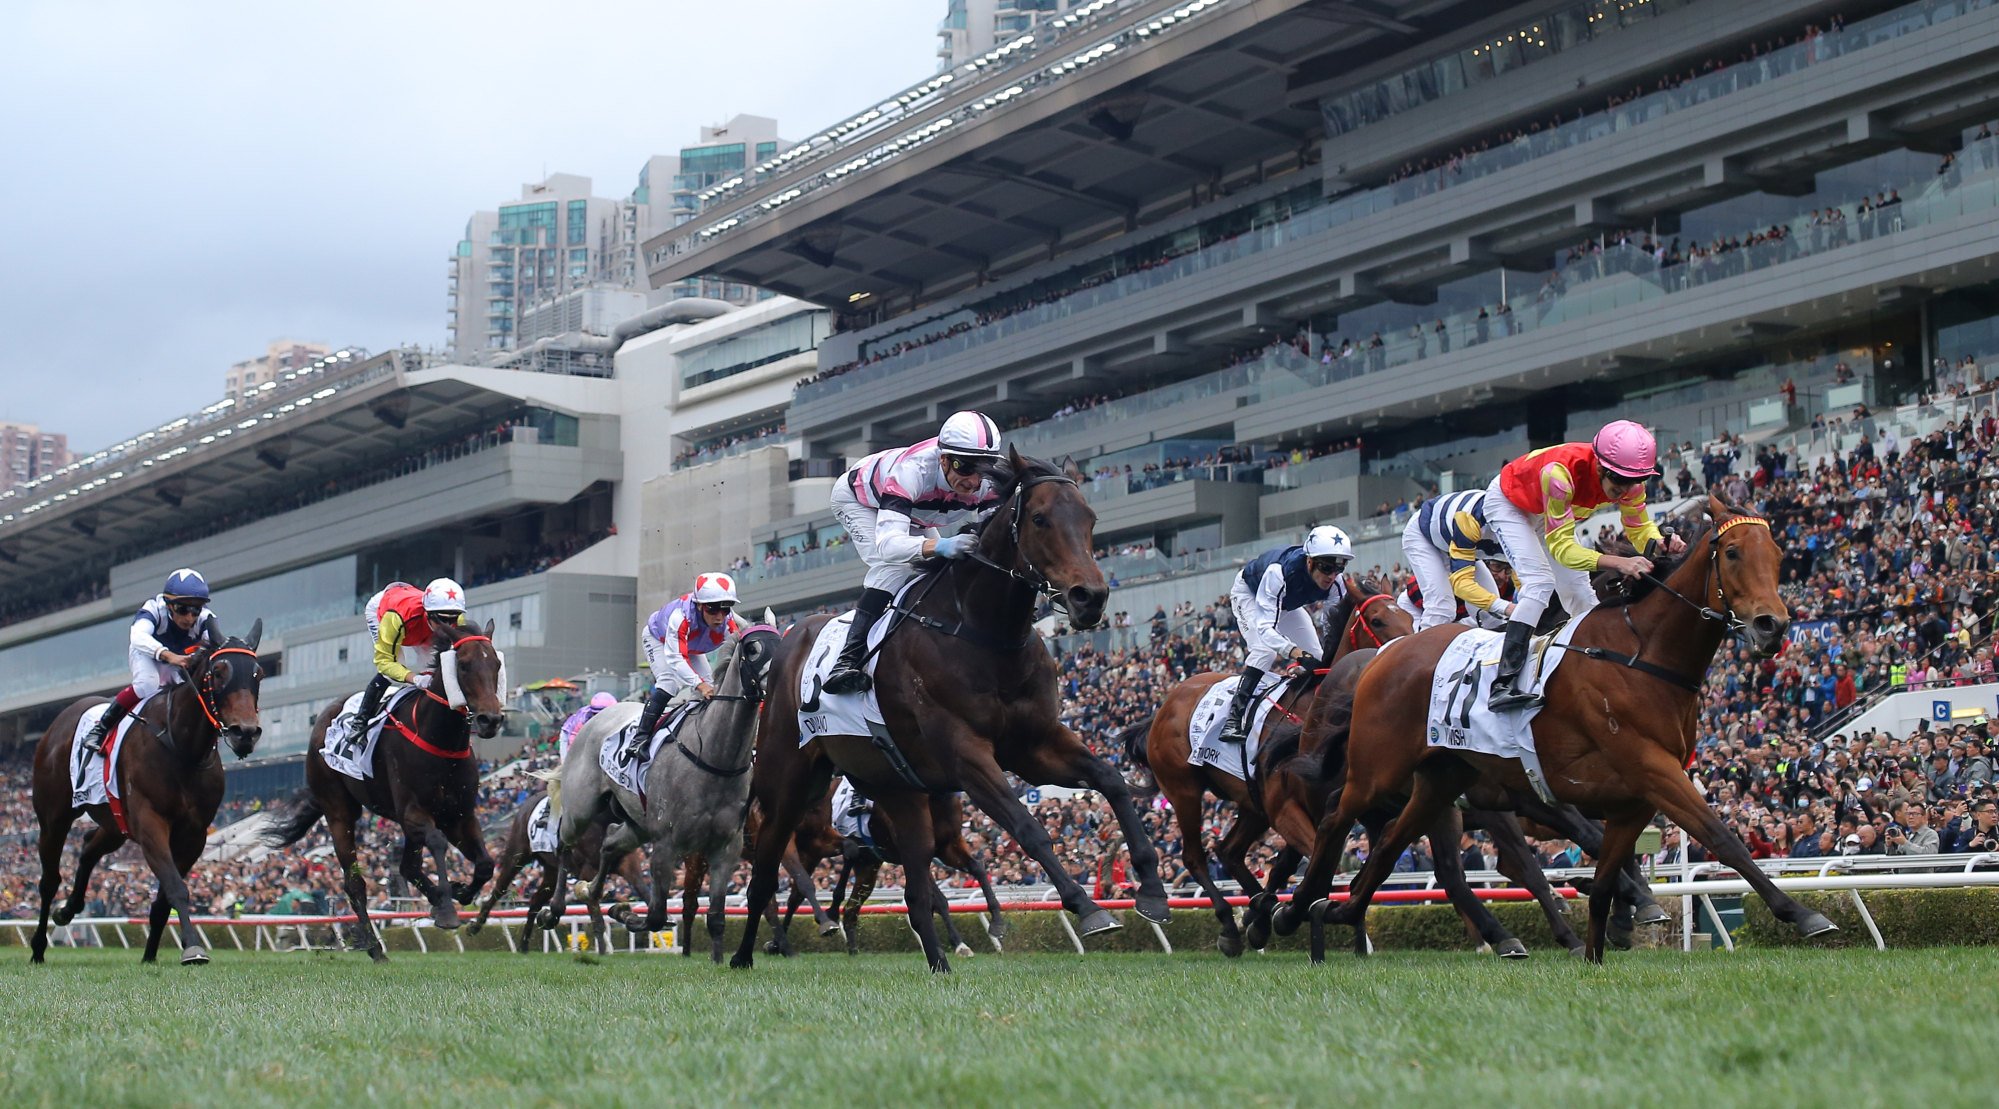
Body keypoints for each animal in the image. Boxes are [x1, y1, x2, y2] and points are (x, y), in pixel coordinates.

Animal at [29, 619, 265, 967]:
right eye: (219, 671)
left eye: (258, 673)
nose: (245, 733)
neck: (182, 748)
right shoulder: (151, 821)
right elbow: (175, 886)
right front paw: (193, 948)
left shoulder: (194, 834)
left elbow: (165, 896)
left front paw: (152, 953)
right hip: (54, 817)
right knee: (49, 880)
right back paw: (38, 946)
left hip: (115, 823)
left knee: (88, 847)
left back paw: (68, 910)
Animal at [259, 619, 507, 959]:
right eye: (465, 665)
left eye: (496, 664)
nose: (490, 720)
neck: (440, 739)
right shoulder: (413, 812)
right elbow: (438, 842)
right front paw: (446, 907)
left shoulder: (460, 815)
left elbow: (485, 864)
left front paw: (459, 892)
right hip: (338, 811)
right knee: (355, 883)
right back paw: (375, 947)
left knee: (407, 867)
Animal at [547, 623, 779, 963]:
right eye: (753, 649)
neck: (714, 757)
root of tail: (595, 718)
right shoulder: (666, 843)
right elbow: (656, 916)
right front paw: (624, 913)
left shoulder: (726, 847)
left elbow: (716, 917)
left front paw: (719, 961)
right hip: (582, 810)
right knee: (563, 844)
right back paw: (553, 909)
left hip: (637, 824)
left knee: (610, 842)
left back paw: (588, 890)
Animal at [735, 449, 1167, 971]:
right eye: (1040, 519)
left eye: (1090, 519)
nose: (1091, 598)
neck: (981, 633)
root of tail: (786, 645)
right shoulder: (966, 754)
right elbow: (1027, 826)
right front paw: (1087, 908)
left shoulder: (1035, 744)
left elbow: (1111, 781)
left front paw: (1152, 889)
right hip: (787, 784)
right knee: (766, 874)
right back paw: (747, 953)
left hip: (897, 793)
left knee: (918, 890)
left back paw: (938, 961)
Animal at [1279, 495, 1839, 963]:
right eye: (1734, 553)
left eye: (1779, 554)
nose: (1772, 625)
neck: (1640, 656)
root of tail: (1380, 659)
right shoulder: (1645, 771)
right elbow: (1719, 835)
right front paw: (1803, 913)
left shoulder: (1631, 794)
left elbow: (1612, 866)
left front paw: (1610, 930)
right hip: (1380, 770)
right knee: (1336, 819)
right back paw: (1292, 909)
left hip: (1441, 780)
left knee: (1399, 843)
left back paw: (1341, 909)